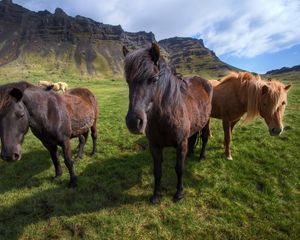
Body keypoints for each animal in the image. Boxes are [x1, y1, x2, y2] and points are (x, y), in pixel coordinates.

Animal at [123, 43, 212, 202]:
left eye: (153, 79)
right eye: (128, 81)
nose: (134, 122)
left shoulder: (180, 144)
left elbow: (179, 169)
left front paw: (179, 193)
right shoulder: (155, 146)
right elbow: (157, 171)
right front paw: (156, 195)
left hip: (206, 121)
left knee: (204, 137)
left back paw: (201, 156)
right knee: (193, 137)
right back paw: (190, 155)